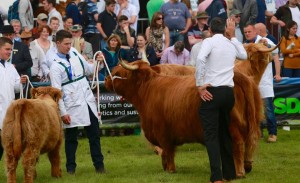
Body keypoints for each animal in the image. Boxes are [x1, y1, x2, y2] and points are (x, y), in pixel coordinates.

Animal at [103, 43, 276, 177]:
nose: (105, 79)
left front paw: (170, 170)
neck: (148, 89)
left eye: (118, 72)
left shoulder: (162, 132)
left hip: (232, 126)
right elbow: (165, 152)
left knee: (238, 145)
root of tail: (238, 76)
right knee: (250, 142)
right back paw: (247, 166)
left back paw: (239, 172)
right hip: (251, 121)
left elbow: (167, 151)